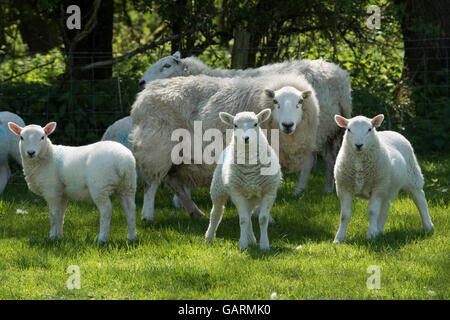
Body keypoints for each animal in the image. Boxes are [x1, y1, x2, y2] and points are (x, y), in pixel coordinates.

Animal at [7, 120, 137, 242]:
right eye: (21, 137)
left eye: (42, 137)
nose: (31, 152)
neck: (48, 157)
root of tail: (122, 160)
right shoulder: (62, 194)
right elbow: (60, 215)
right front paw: (59, 237)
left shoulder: (51, 191)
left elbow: (53, 215)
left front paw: (52, 237)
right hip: (128, 185)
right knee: (130, 209)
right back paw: (131, 237)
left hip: (100, 185)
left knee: (106, 210)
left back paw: (102, 239)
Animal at [130, 74, 320, 221]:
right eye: (275, 101)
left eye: (300, 102)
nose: (288, 125)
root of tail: (143, 96)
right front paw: (261, 215)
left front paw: (259, 214)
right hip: (156, 149)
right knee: (151, 184)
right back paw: (147, 216)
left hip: (176, 157)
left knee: (173, 182)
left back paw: (194, 212)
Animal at [140, 52, 352, 195]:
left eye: (166, 65)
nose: (141, 82)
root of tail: (340, 80)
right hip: (329, 129)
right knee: (330, 158)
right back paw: (328, 189)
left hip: (315, 127)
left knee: (310, 160)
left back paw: (298, 191)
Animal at [205, 109, 282, 251]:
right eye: (235, 125)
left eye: (256, 124)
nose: (246, 138)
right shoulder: (237, 193)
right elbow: (243, 220)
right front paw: (242, 245)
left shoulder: (269, 192)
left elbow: (262, 219)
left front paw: (264, 245)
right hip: (218, 188)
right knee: (216, 212)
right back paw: (209, 238)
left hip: (251, 196)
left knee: (249, 214)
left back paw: (251, 239)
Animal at [332, 113, 434, 242]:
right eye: (349, 129)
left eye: (369, 129)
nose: (359, 145)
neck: (359, 163)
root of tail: (393, 131)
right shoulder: (344, 188)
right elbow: (345, 215)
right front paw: (339, 238)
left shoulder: (377, 188)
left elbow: (372, 211)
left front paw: (370, 235)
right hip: (387, 185)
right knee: (385, 207)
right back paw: (379, 230)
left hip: (412, 176)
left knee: (420, 199)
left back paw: (428, 226)